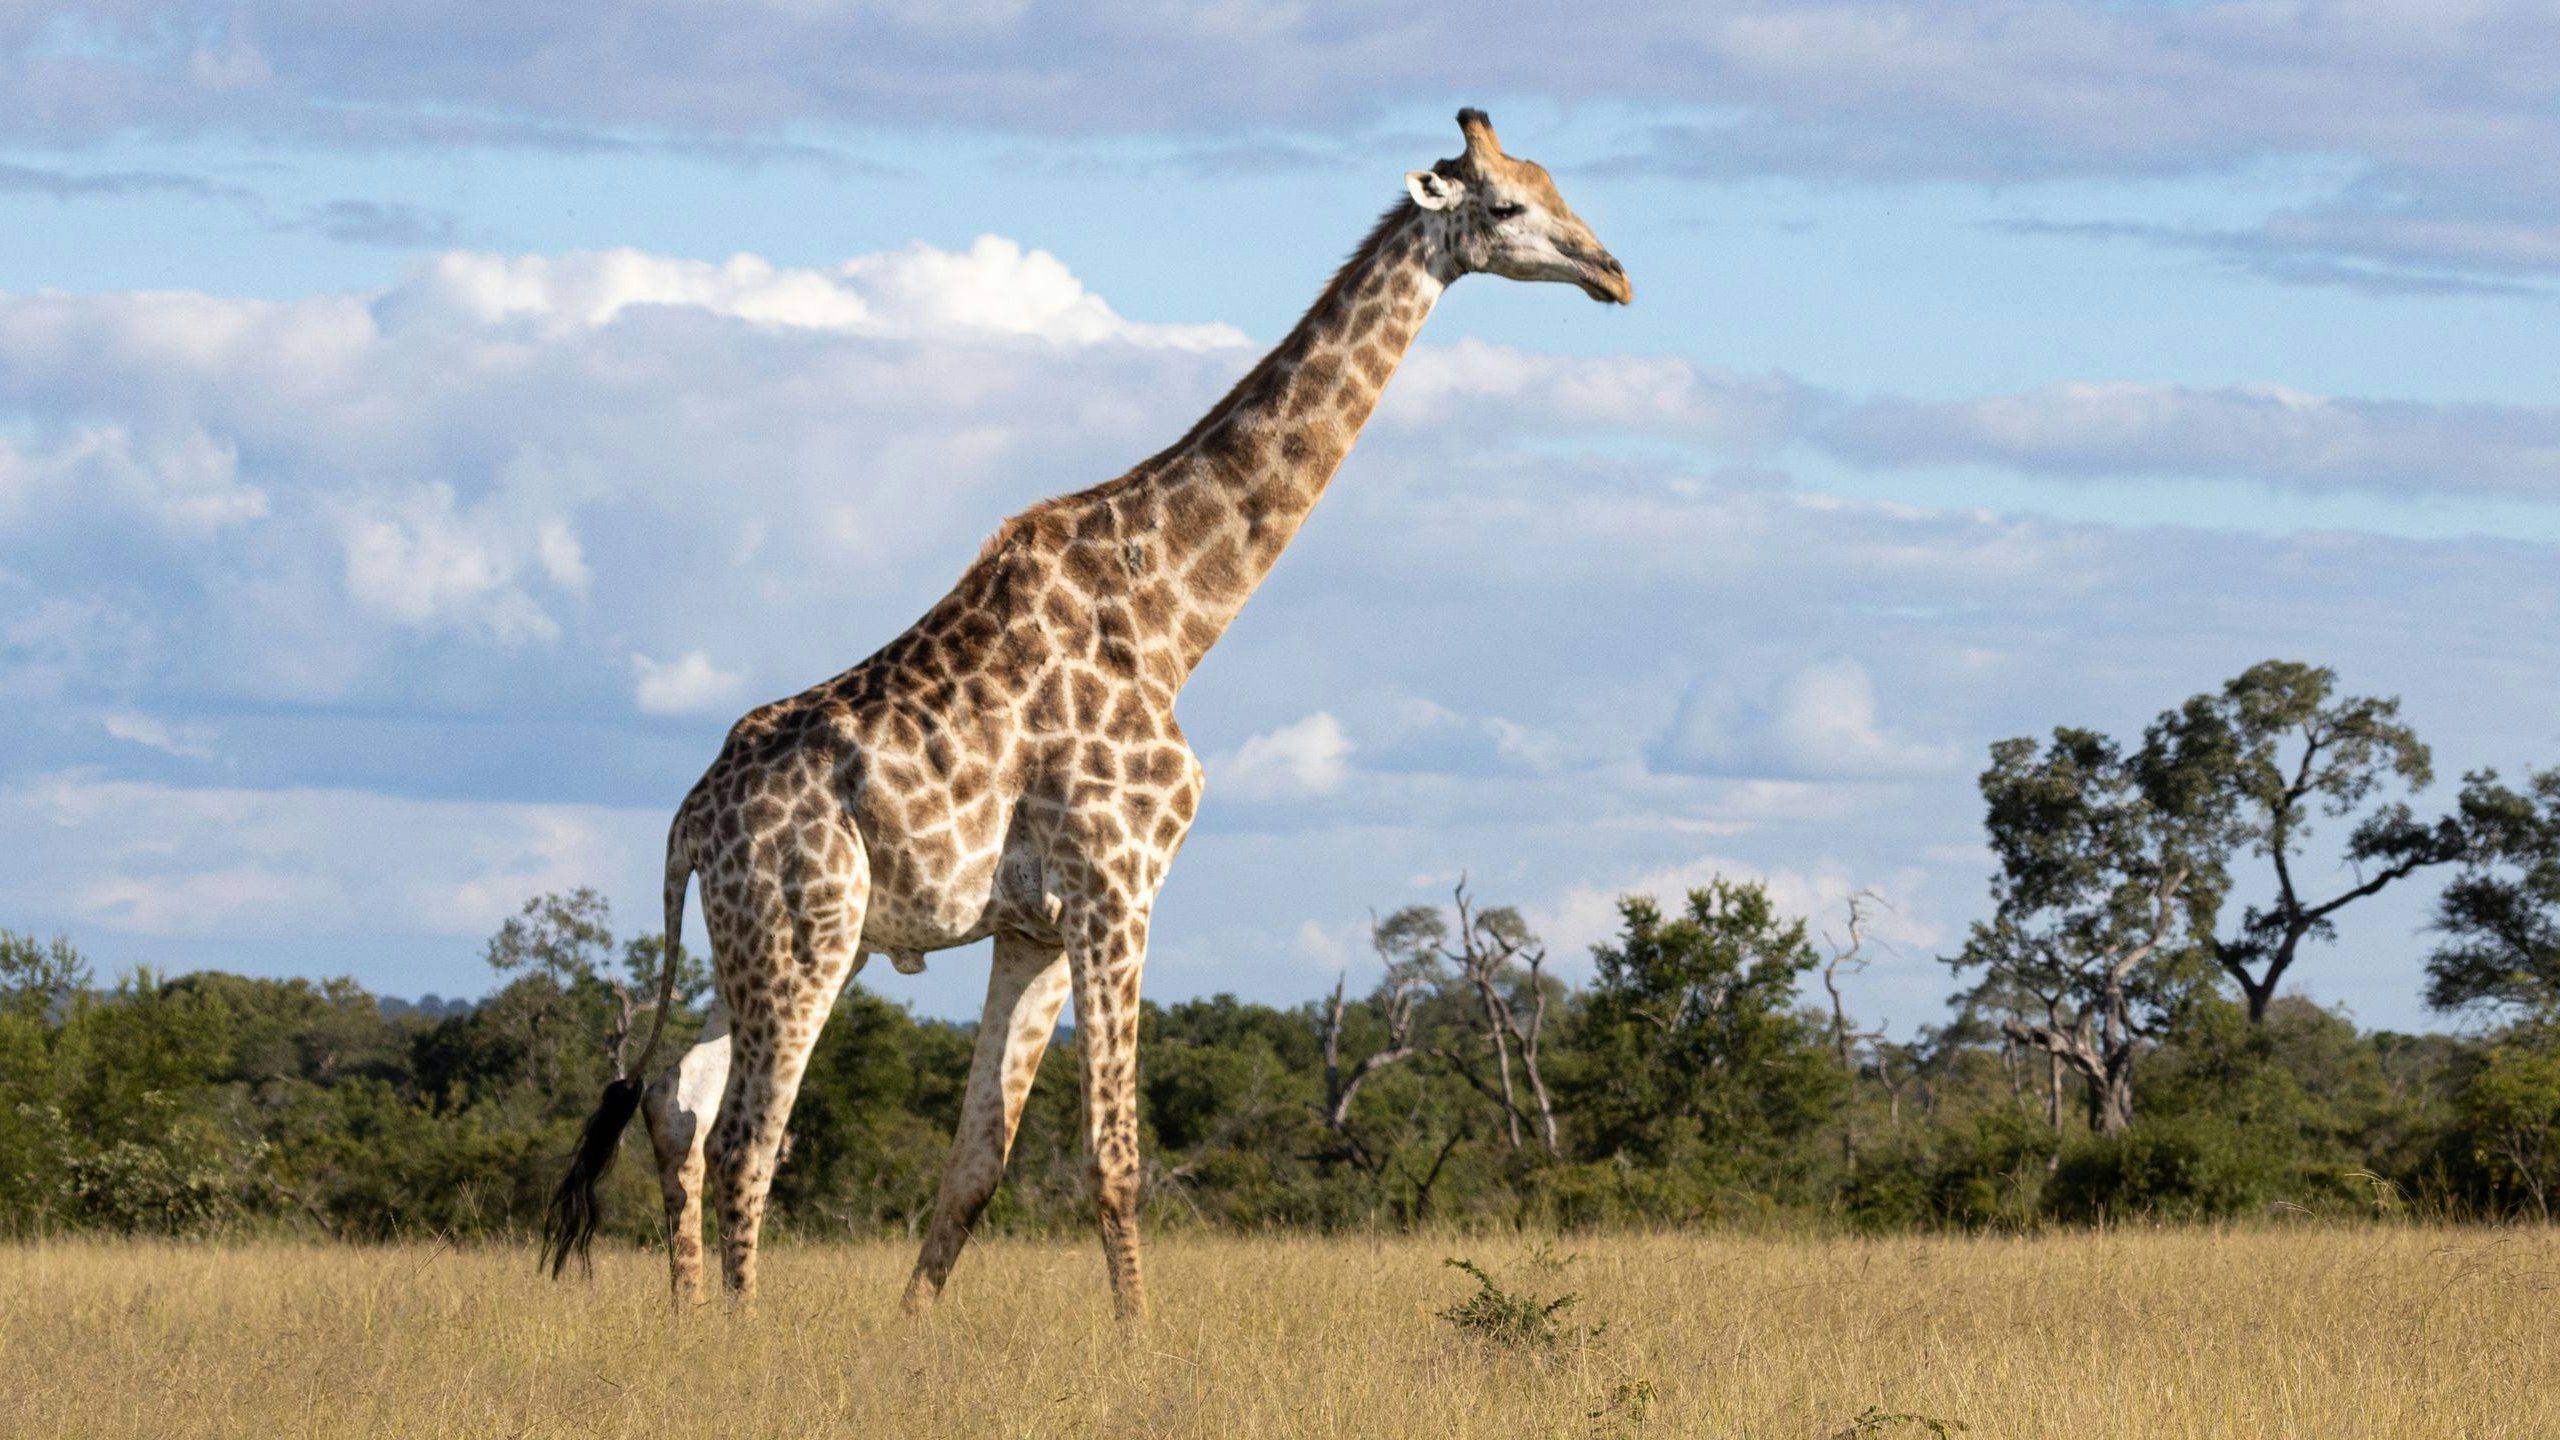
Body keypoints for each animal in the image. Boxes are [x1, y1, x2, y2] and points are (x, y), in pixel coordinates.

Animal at [541, 108, 1631, 1318]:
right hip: (804, 932)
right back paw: (742, 1335)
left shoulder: (1032, 927)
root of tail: (687, 822)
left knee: (674, 1103)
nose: (1614, 273)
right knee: (745, 1138)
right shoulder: (1119, 884)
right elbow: (1115, 1158)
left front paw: (910, 1335)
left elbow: (977, 1164)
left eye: (1557, 187)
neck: (1172, 621)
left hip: (770, 939)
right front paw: (1139, 1342)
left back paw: (690, 1322)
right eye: (1506, 205)